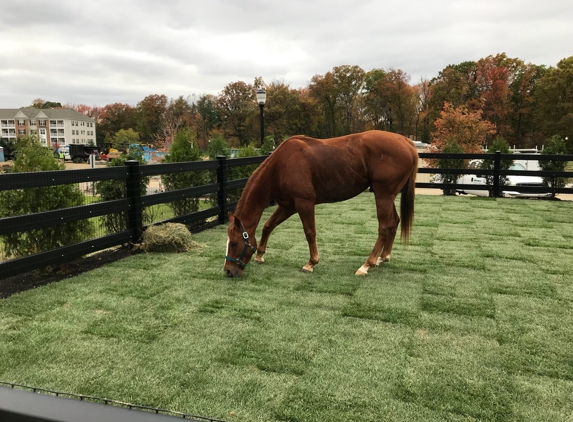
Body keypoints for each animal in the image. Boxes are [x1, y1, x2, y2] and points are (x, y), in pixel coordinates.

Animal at [223, 130, 416, 278]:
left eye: (234, 243)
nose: (228, 271)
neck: (281, 165)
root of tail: (405, 141)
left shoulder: (304, 202)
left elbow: (310, 232)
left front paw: (311, 263)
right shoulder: (288, 206)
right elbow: (268, 226)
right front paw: (260, 255)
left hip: (383, 195)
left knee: (384, 227)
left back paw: (366, 264)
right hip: (387, 196)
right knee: (394, 222)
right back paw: (383, 257)